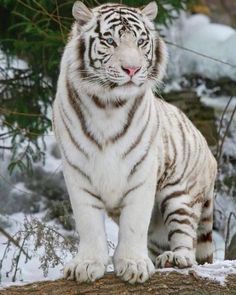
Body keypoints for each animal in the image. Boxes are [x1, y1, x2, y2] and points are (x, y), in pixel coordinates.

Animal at [53, 1, 218, 286]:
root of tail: (211, 155)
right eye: (110, 40)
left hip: (180, 194)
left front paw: (133, 265)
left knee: (187, 238)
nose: (132, 69)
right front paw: (86, 265)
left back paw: (176, 258)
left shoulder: (142, 170)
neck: (107, 105)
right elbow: (88, 223)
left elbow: (134, 222)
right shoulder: (77, 171)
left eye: (141, 42)